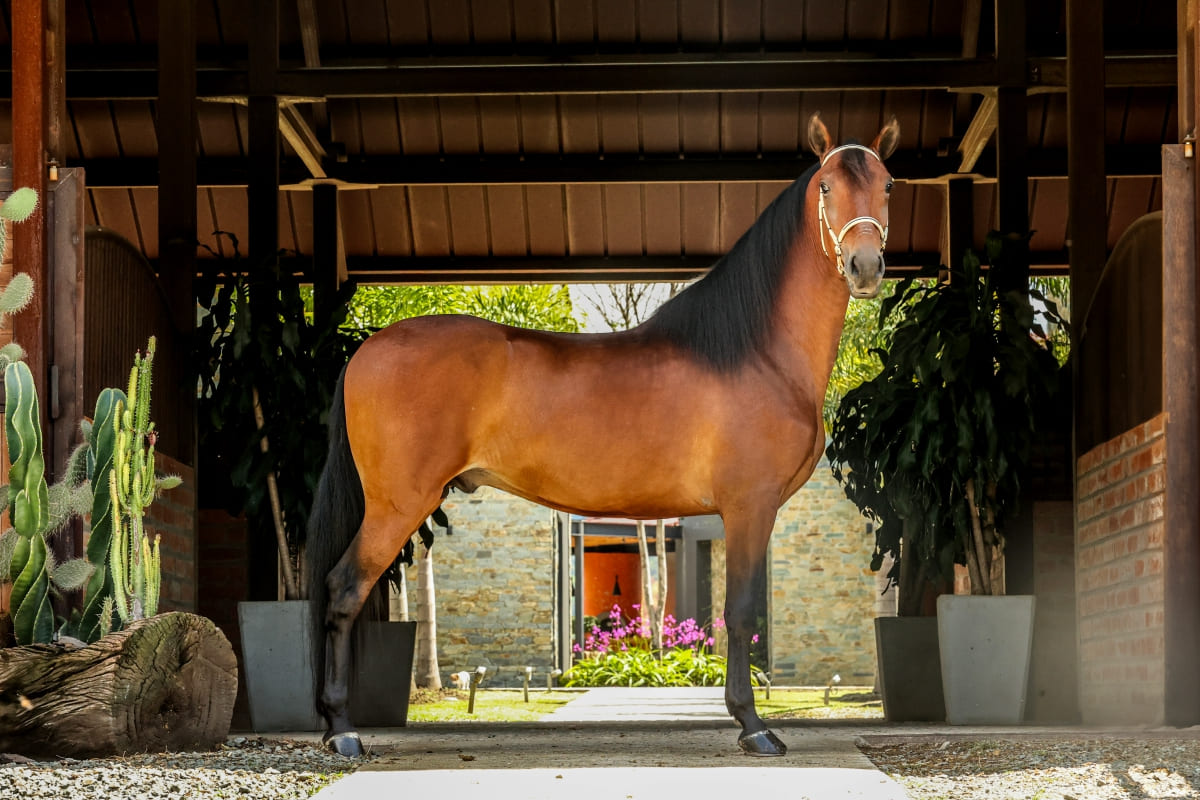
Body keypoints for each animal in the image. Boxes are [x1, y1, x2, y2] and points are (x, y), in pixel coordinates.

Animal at [306, 112, 900, 757]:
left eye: (888, 186)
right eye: (826, 186)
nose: (864, 267)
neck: (755, 351)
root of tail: (367, 350)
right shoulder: (750, 506)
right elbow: (740, 614)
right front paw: (753, 726)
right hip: (396, 505)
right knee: (343, 590)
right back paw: (342, 731)